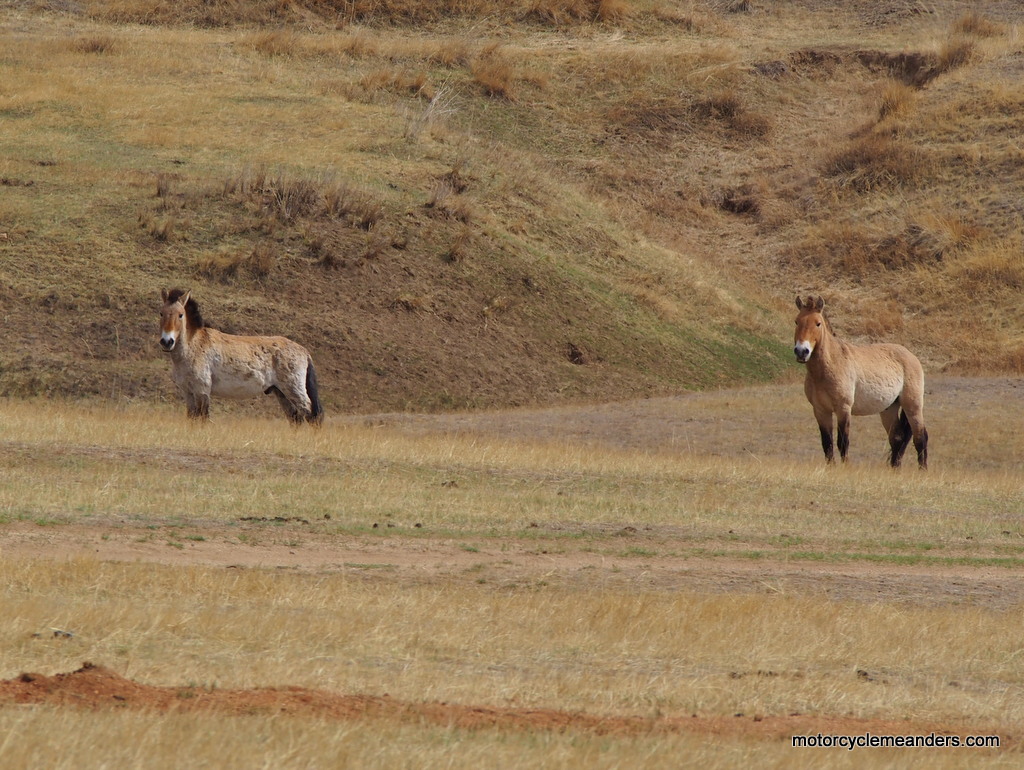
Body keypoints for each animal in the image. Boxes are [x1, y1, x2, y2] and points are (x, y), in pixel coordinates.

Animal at [159, 288, 321, 423]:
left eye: (180, 315)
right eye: (161, 313)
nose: (167, 341)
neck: (194, 345)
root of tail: (304, 351)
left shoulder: (202, 390)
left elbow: (202, 418)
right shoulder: (188, 392)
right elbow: (192, 418)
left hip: (294, 390)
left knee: (311, 414)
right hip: (281, 393)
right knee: (295, 418)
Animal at [790, 296, 929, 468]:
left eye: (818, 323)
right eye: (796, 321)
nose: (801, 351)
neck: (831, 364)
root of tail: (912, 356)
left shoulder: (843, 408)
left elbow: (843, 442)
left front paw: (845, 468)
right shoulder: (820, 410)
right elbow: (827, 443)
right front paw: (831, 468)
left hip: (913, 406)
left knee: (920, 437)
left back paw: (923, 469)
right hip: (889, 409)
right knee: (897, 438)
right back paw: (894, 469)